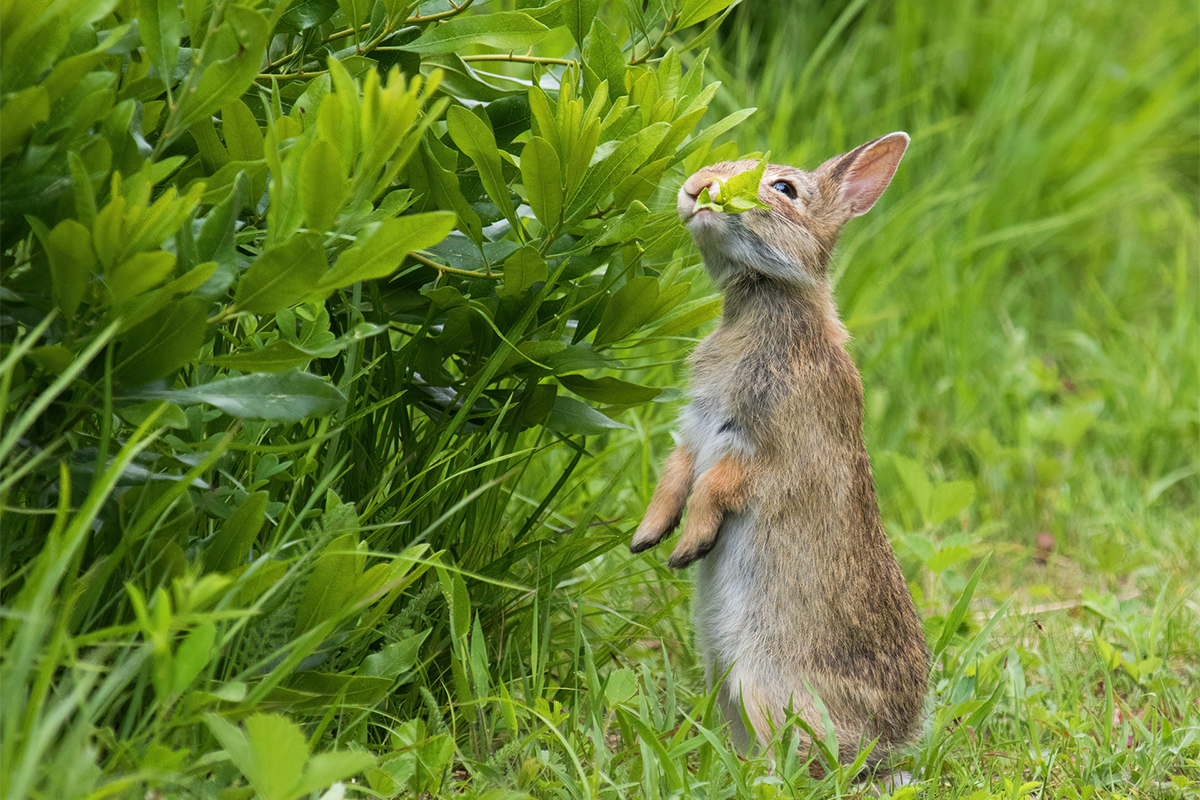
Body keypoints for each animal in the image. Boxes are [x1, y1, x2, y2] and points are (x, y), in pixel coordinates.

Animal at [633, 133, 931, 777]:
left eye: (784, 189)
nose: (696, 188)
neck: (762, 297)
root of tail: (882, 740)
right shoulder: (694, 432)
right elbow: (676, 475)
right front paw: (648, 538)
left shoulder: (770, 453)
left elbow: (717, 486)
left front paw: (688, 547)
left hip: (759, 682)